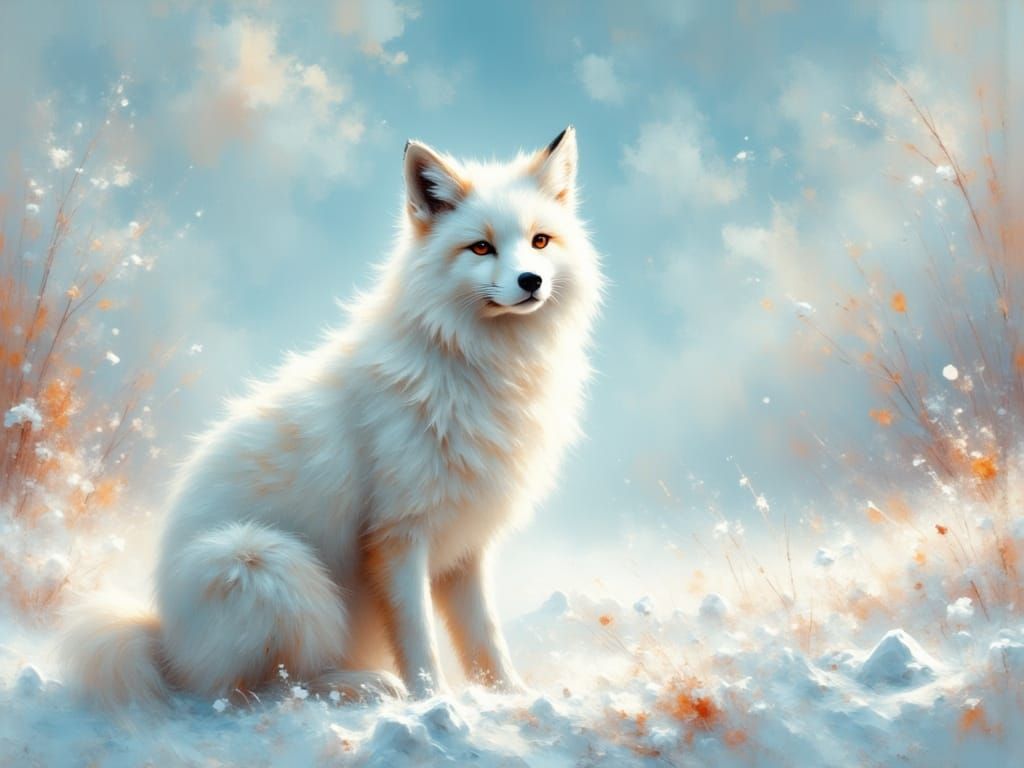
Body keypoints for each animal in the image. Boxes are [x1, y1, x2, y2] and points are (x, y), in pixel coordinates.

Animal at [62, 126, 603, 706]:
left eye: (540, 241)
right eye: (481, 246)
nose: (530, 280)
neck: (481, 367)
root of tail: (168, 648)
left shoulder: (465, 545)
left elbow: (484, 637)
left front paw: (511, 697)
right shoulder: (397, 536)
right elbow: (419, 639)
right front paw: (433, 702)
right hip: (265, 562)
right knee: (263, 689)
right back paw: (360, 686)